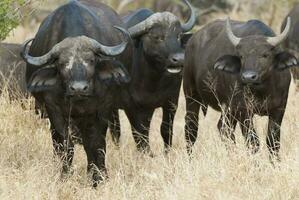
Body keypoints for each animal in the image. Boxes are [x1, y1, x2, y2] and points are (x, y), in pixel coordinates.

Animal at [19, 0, 130, 187]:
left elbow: (96, 143)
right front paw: (65, 175)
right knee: (57, 142)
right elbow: (66, 144)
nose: (78, 88)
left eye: (91, 60)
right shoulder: (54, 109)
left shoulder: (103, 108)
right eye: (62, 64)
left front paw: (98, 177)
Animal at [110, 0, 197, 154]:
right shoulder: (131, 106)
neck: (153, 81)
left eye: (178, 36)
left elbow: (165, 129)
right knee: (116, 129)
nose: (179, 59)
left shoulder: (171, 101)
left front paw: (167, 153)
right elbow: (139, 134)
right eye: (157, 37)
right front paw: (147, 154)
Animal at [184, 18, 298, 160]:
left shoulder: (279, 109)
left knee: (224, 129)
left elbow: (273, 141)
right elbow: (253, 142)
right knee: (191, 129)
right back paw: (190, 159)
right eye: (242, 56)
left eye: (265, 55)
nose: (248, 77)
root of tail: (191, 41)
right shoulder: (243, 111)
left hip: (228, 108)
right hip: (191, 95)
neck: (262, 90)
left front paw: (275, 163)